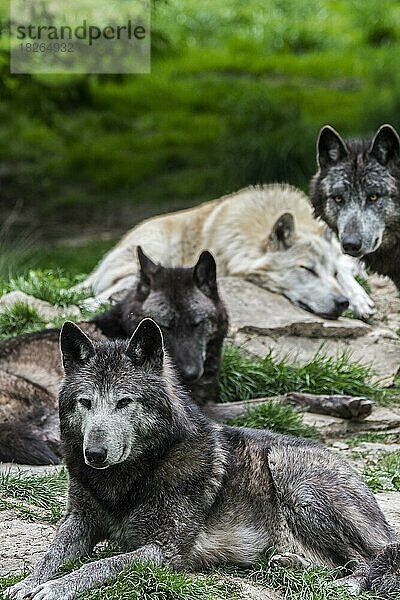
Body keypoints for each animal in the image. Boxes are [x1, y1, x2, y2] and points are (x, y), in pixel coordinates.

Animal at [6, 318, 400, 600]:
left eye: (124, 401)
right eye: (86, 402)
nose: (94, 454)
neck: (130, 477)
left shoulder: (164, 551)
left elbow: (100, 566)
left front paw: (53, 588)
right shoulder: (79, 522)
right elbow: (48, 556)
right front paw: (25, 584)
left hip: (292, 477)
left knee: (373, 557)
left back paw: (346, 584)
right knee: (335, 562)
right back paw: (290, 563)